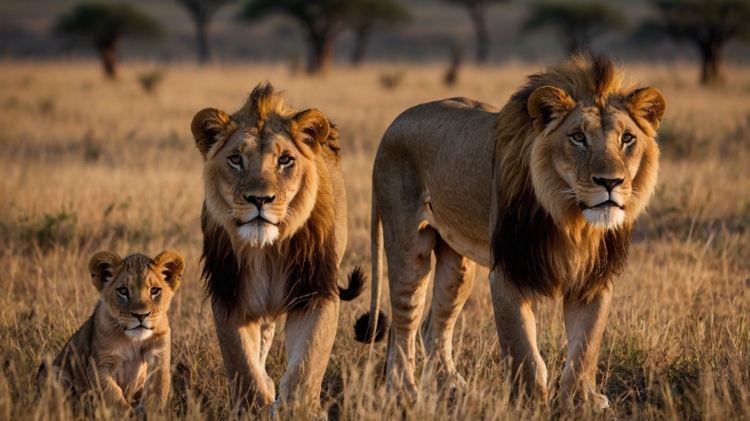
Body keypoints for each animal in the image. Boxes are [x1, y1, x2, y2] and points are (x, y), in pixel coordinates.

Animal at [36, 250, 184, 417]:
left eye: (154, 290)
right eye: (123, 291)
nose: (141, 315)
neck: (133, 341)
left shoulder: (159, 354)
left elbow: (157, 388)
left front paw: (149, 413)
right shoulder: (99, 366)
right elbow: (113, 396)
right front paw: (129, 416)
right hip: (52, 373)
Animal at [191, 82, 364, 415]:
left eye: (284, 160)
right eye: (236, 160)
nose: (260, 199)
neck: (266, 250)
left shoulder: (315, 292)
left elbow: (307, 366)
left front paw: (296, 409)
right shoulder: (230, 294)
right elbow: (242, 365)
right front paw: (253, 409)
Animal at [354, 54, 666, 410]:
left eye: (627, 139)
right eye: (578, 137)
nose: (610, 182)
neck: (573, 221)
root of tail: (392, 126)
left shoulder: (594, 278)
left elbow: (586, 344)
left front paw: (581, 400)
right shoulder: (508, 272)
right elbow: (522, 349)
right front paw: (529, 404)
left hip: (457, 265)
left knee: (433, 325)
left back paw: (449, 385)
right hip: (408, 245)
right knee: (404, 323)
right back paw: (405, 392)